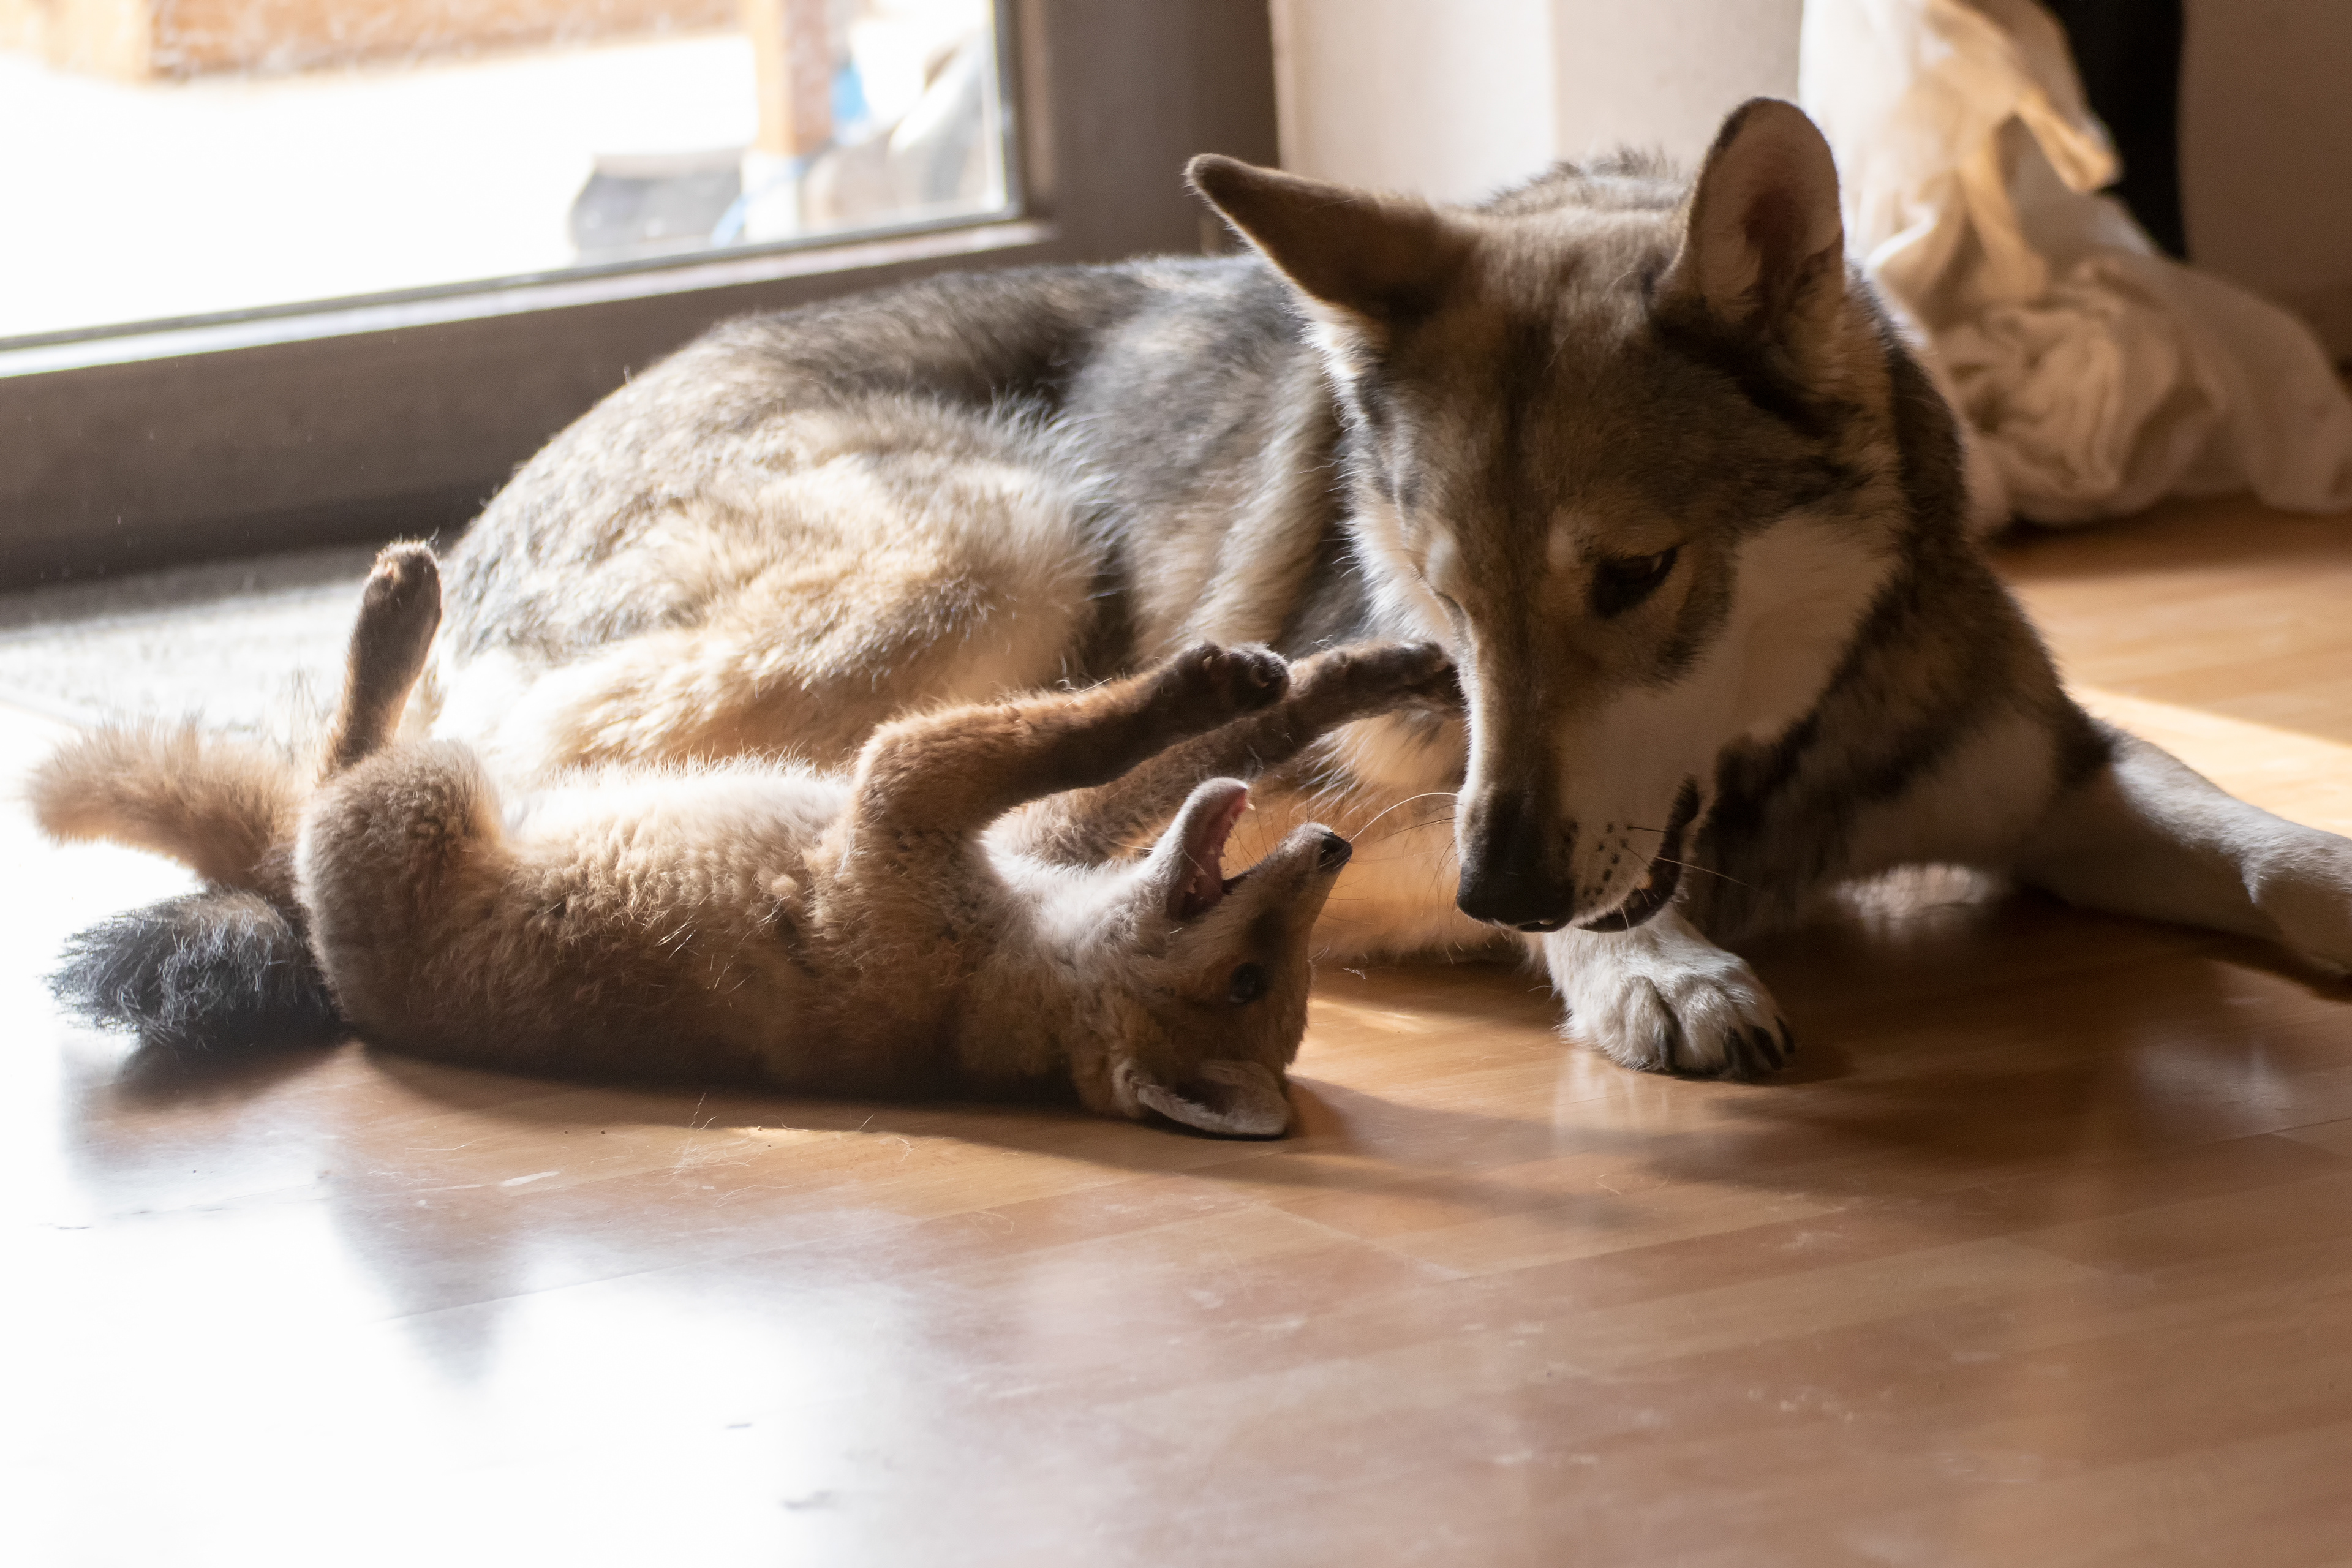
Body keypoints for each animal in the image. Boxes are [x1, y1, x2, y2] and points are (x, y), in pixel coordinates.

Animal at [35, 544, 1461, 1137]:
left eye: (1264, 981)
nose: (1332, 852)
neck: (1008, 964)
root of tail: (333, 978)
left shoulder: (905, 783)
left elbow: (1090, 724)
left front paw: (1207, 679)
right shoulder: (1023, 818)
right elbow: (1196, 736)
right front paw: (1361, 670)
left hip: (423, 793)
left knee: (343, 756)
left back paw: (396, 612)